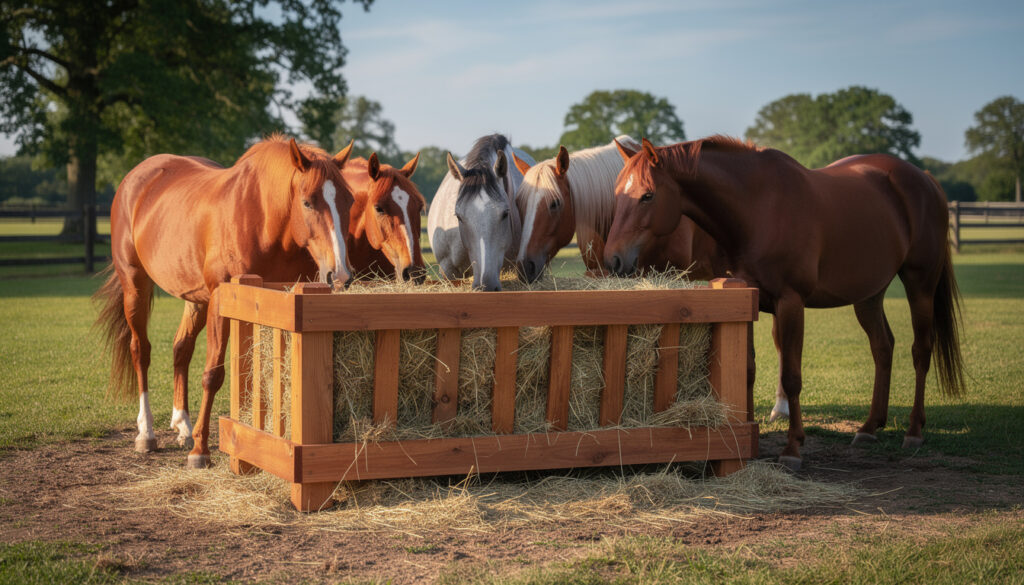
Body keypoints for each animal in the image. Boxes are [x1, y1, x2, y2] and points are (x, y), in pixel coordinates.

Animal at [94, 135, 355, 468]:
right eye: (308, 201)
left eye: (349, 201)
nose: (340, 274)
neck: (262, 218)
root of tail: (136, 178)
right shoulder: (222, 300)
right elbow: (214, 374)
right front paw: (200, 450)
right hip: (135, 285)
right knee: (141, 351)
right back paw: (147, 433)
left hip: (195, 299)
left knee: (181, 349)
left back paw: (182, 426)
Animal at [605, 137, 965, 470]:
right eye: (617, 194)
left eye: (648, 195)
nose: (613, 260)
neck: (758, 208)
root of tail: (925, 179)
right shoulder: (745, 297)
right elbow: (748, 370)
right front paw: (749, 437)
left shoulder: (791, 303)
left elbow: (791, 376)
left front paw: (792, 448)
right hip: (869, 295)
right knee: (883, 346)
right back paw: (869, 427)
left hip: (920, 285)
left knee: (921, 350)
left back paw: (914, 431)